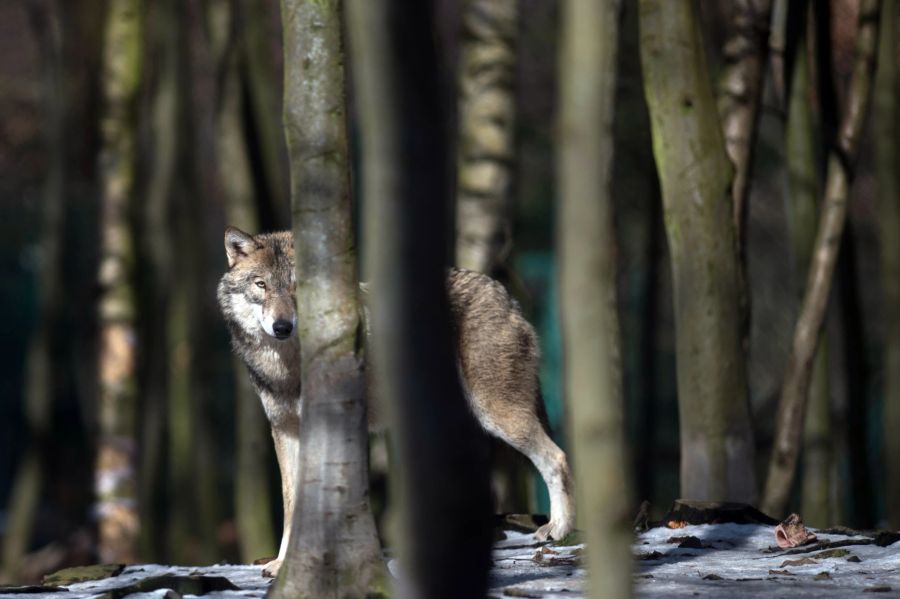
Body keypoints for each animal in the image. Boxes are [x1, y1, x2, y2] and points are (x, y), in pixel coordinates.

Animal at [214, 226, 572, 576]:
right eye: (261, 284)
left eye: (296, 284)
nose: (282, 327)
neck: (289, 366)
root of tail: (503, 293)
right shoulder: (286, 431)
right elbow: (292, 503)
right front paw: (285, 564)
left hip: (497, 416)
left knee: (557, 457)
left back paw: (557, 529)